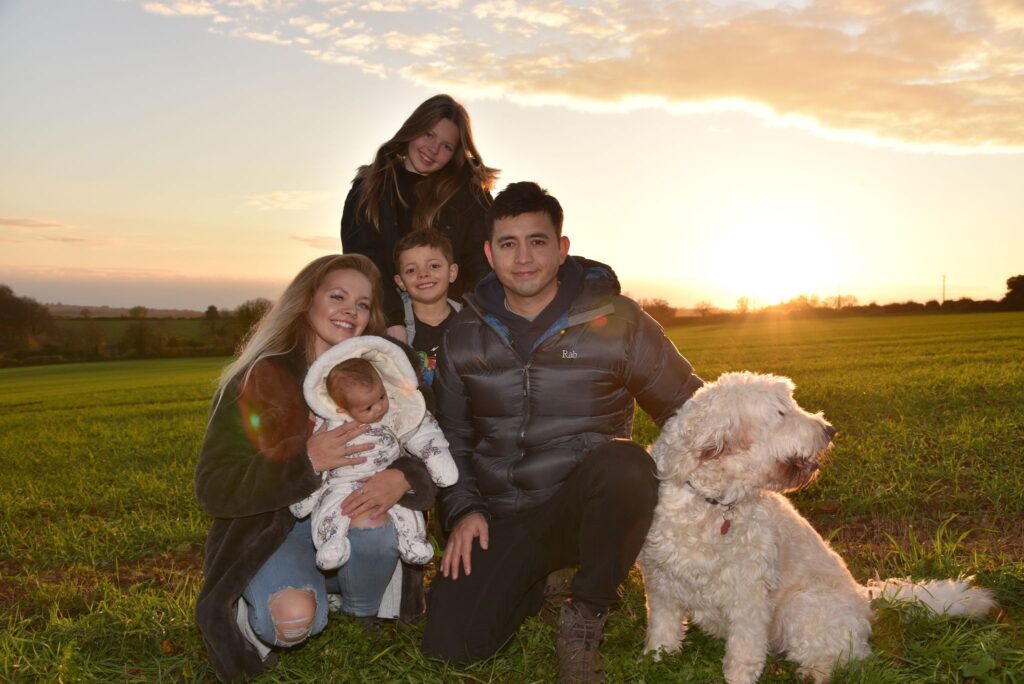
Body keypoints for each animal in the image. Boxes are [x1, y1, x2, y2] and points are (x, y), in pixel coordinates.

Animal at [638, 372, 995, 684]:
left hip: (803, 605)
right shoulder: (661, 583)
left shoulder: (749, 595)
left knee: (847, 657)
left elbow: (744, 651)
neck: (711, 503)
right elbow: (662, 629)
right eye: (781, 412)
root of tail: (866, 598)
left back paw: (813, 673)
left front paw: (737, 677)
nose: (830, 430)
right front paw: (656, 661)